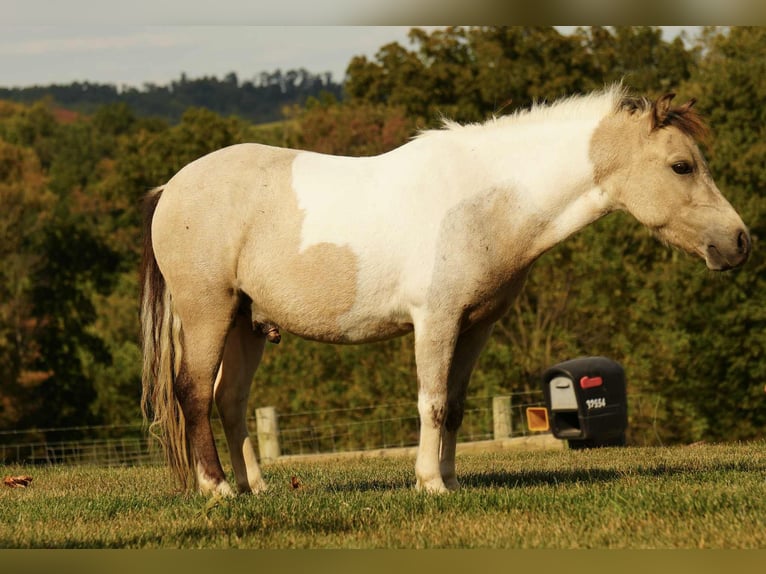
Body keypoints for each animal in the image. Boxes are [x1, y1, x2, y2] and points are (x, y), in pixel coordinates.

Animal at [140, 86, 750, 496]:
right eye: (681, 166)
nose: (740, 241)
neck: (485, 199)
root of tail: (172, 187)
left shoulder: (476, 326)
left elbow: (454, 406)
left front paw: (453, 481)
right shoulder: (435, 321)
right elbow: (430, 401)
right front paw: (430, 483)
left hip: (246, 324)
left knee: (230, 400)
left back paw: (255, 487)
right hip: (209, 314)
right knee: (194, 394)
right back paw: (218, 489)